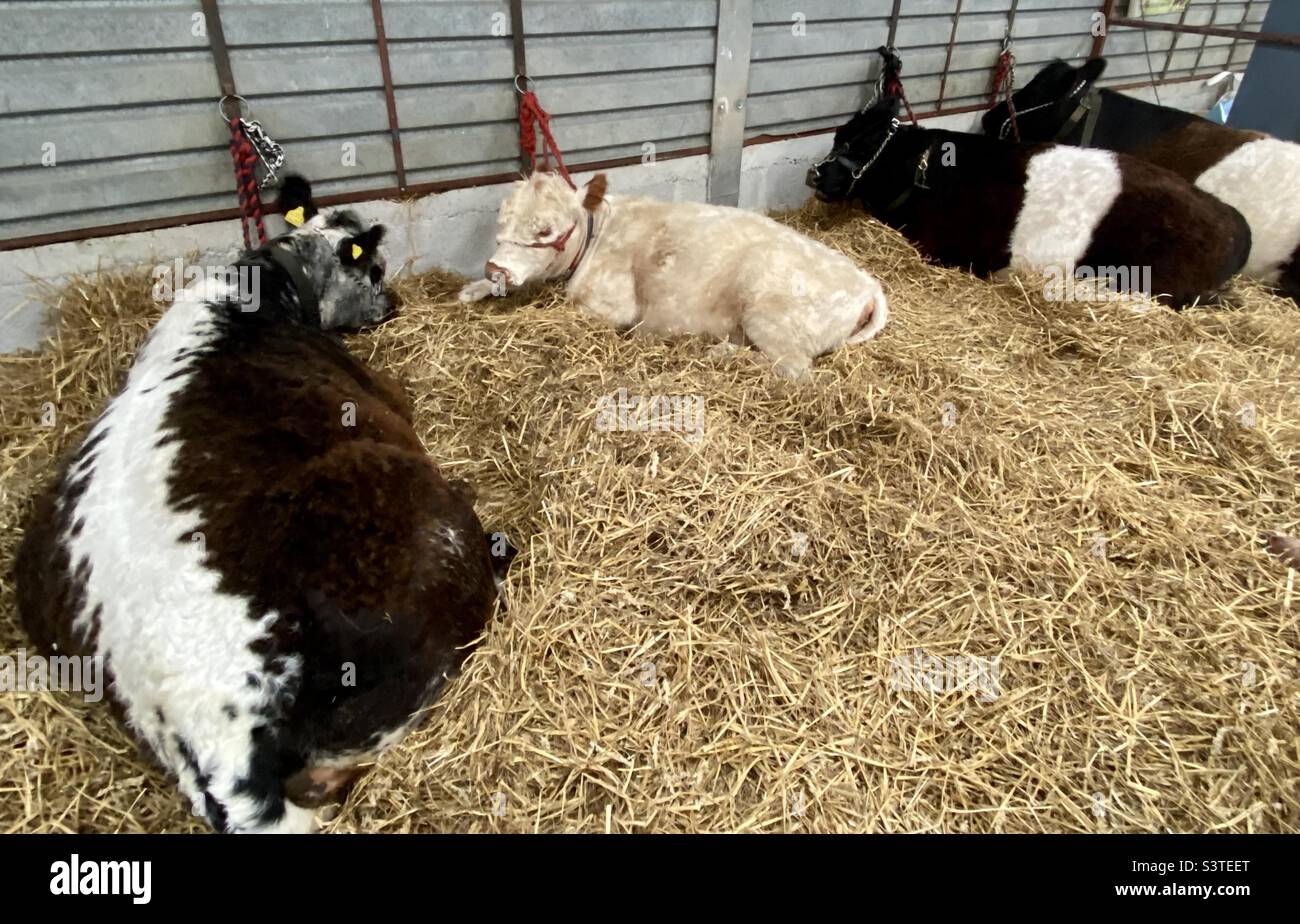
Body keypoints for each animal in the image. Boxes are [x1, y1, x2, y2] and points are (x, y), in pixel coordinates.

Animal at [457, 171, 889, 379]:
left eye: (545, 230)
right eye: (501, 221)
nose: (494, 267)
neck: (600, 232)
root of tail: (868, 285)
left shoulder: (615, 307)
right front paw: (472, 289)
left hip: (770, 315)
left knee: (794, 370)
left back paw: (720, 354)